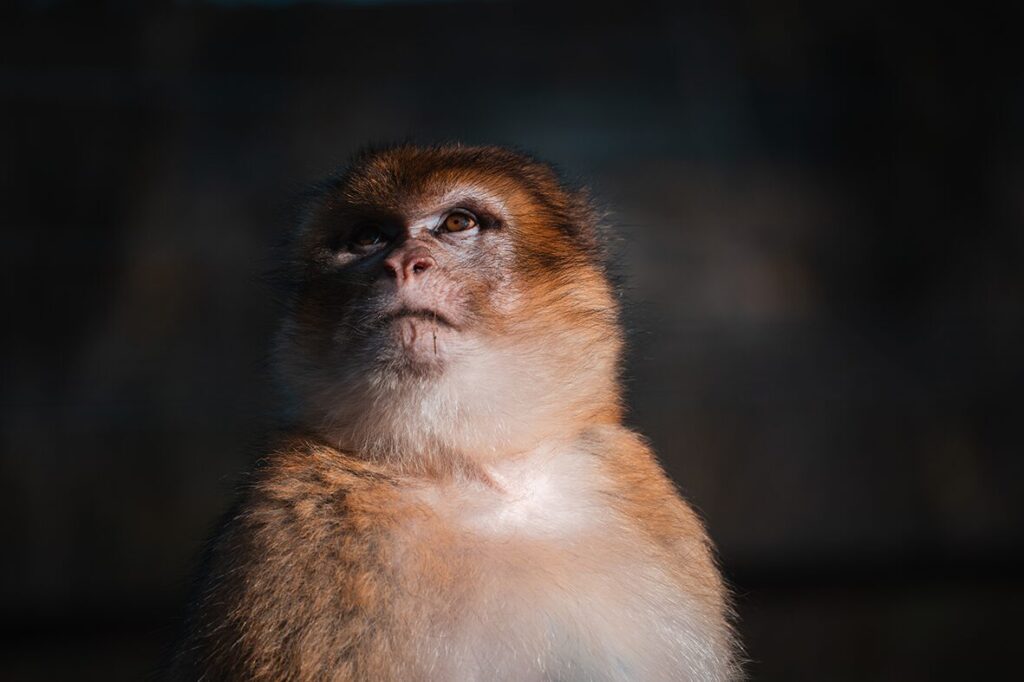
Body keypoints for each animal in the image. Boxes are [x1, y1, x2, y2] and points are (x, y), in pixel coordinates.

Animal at [171, 144, 739, 681]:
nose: (401, 264)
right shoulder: (282, 533)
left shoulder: (644, 505)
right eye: (369, 237)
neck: (467, 467)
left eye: (458, 223)